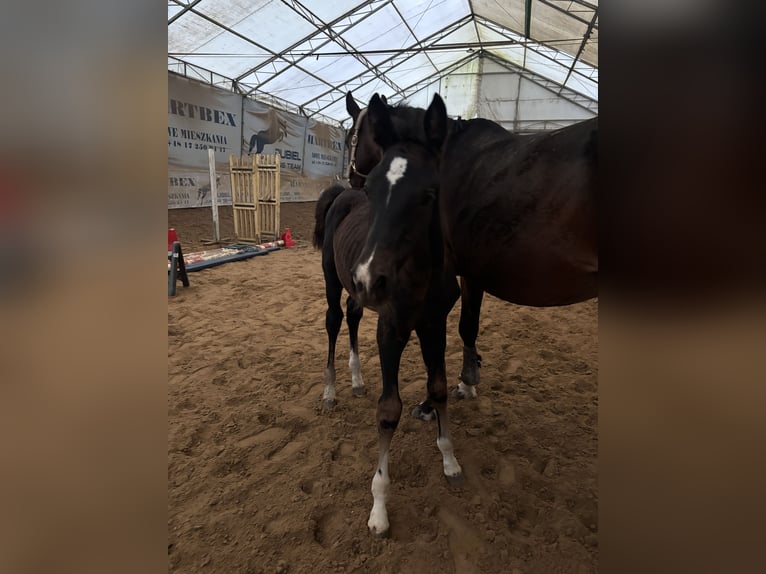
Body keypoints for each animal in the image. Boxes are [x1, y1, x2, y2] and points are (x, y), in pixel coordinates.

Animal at [312, 94, 464, 537]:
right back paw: (331, 390)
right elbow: (388, 410)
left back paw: (357, 379)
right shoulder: (392, 328)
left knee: (351, 315)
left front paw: (449, 459)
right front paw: (378, 507)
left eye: (429, 193)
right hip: (334, 280)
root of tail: (339, 195)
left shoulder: (434, 324)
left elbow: (439, 388)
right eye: (376, 189)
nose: (369, 278)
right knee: (333, 319)